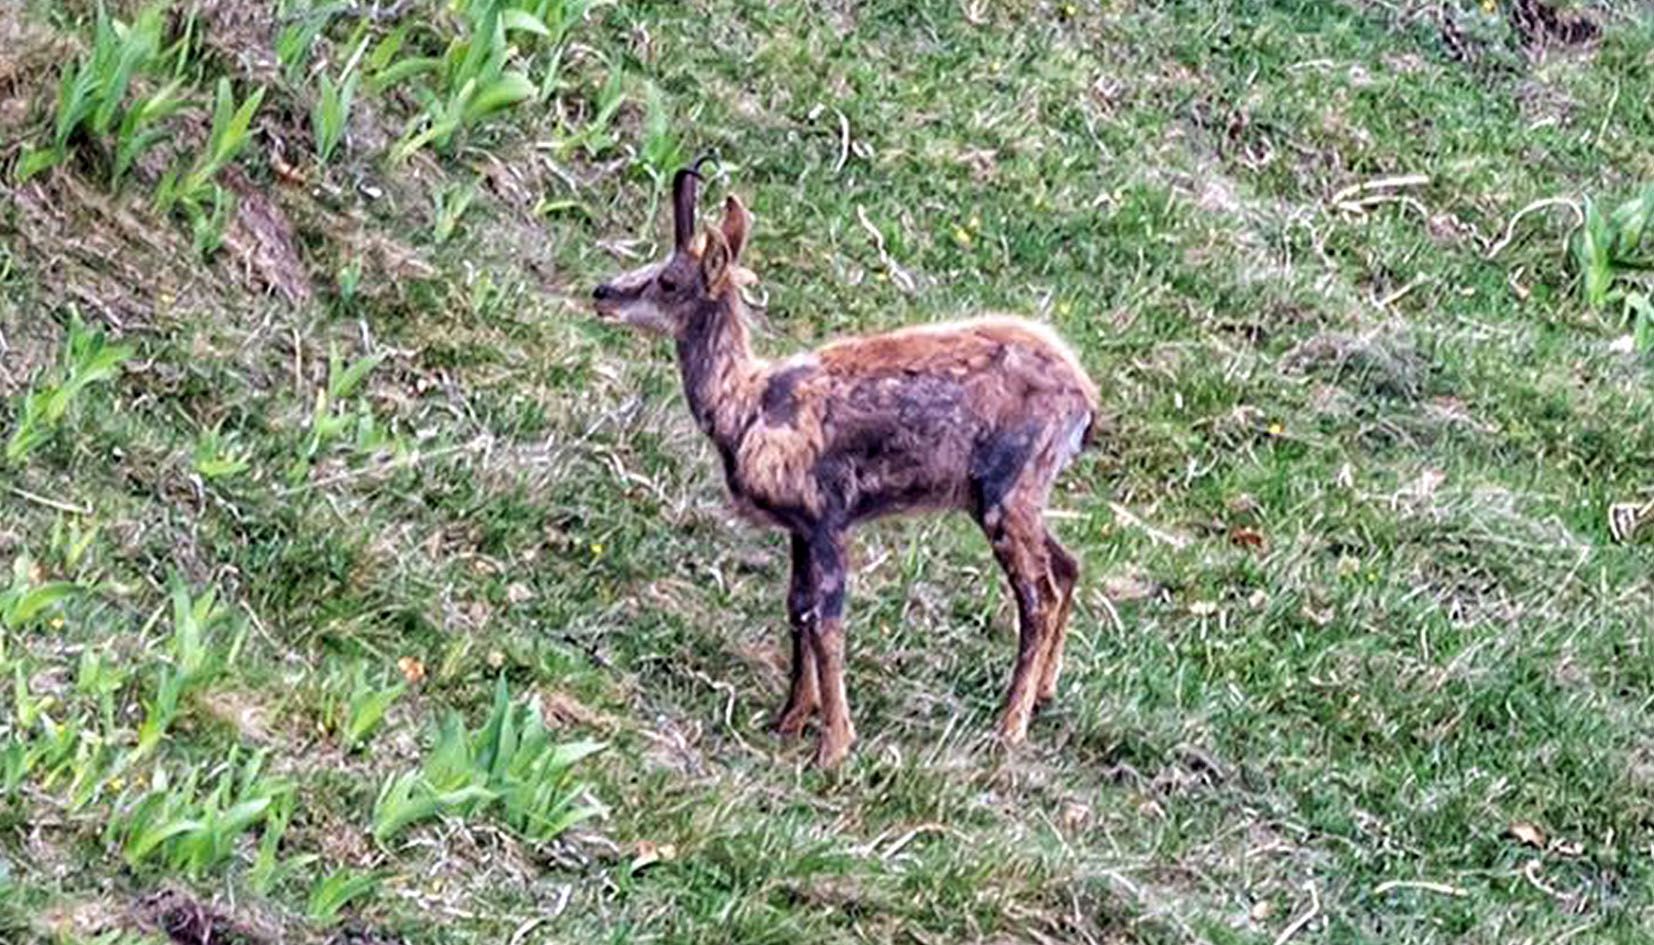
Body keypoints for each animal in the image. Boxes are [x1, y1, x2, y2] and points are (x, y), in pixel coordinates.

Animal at [592, 159, 1100, 768]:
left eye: (668, 280)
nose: (601, 291)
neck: (750, 406)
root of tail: (1086, 397)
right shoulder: (798, 528)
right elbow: (797, 610)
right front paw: (790, 718)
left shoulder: (828, 516)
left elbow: (827, 623)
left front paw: (834, 746)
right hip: (1010, 496)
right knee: (1067, 565)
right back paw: (1044, 693)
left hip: (1008, 491)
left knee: (1038, 597)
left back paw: (1010, 726)